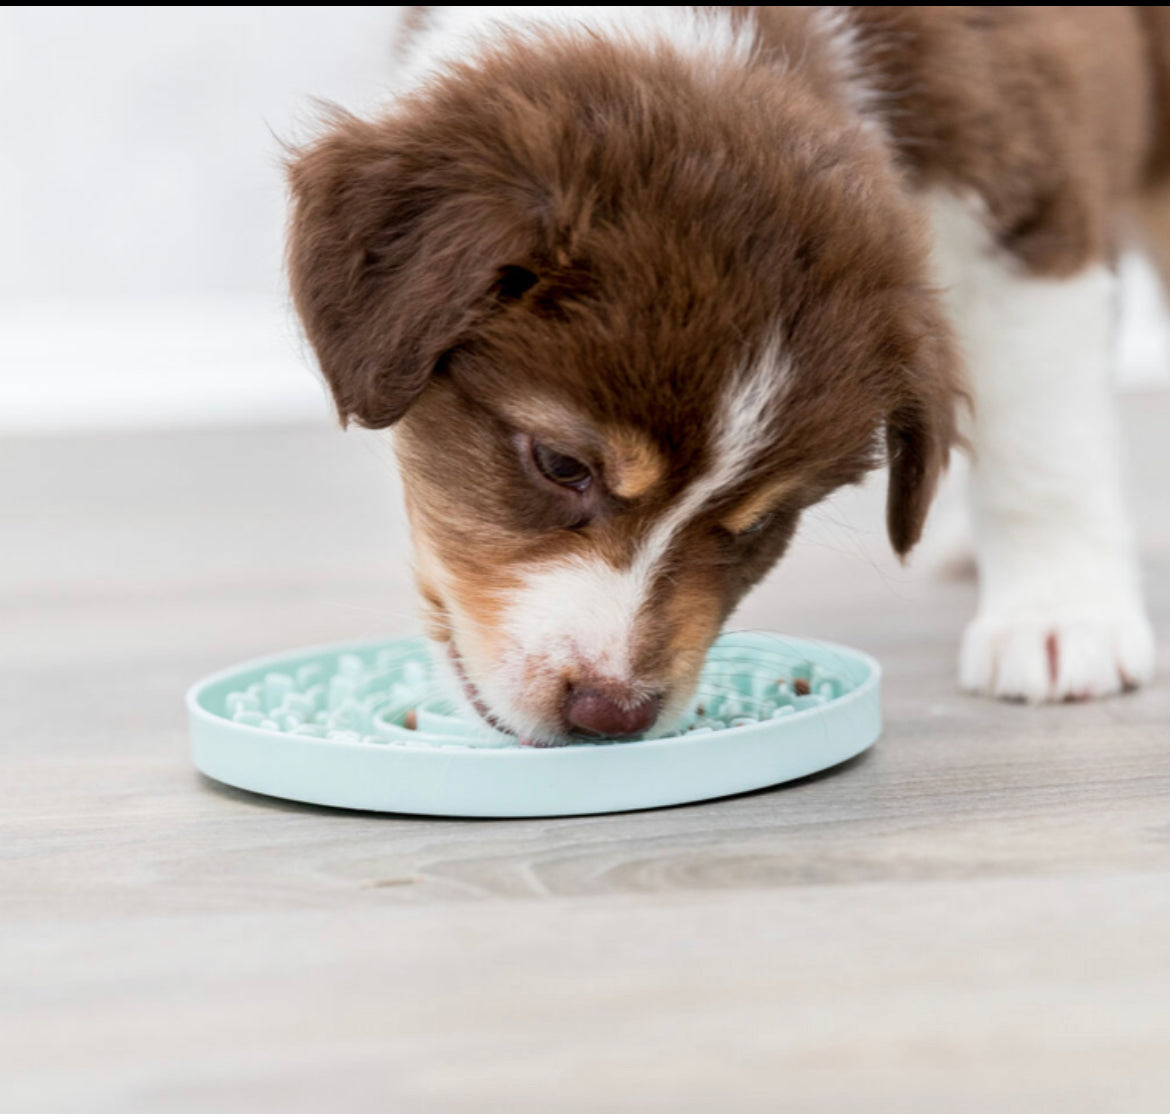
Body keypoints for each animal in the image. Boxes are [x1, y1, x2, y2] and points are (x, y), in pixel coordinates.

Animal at [285, 8, 1160, 744]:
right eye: (561, 464)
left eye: (760, 523)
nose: (612, 714)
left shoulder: (1024, 190)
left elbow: (1040, 433)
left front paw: (1061, 620)